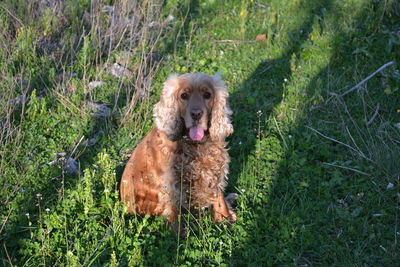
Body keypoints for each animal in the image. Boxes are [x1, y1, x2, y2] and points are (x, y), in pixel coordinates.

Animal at [120, 73, 236, 228]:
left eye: (207, 94)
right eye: (184, 95)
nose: (196, 114)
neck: (194, 144)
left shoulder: (215, 170)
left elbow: (219, 197)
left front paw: (225, 218)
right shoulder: (170, 184)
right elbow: (173, 213)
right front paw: (178, 232)